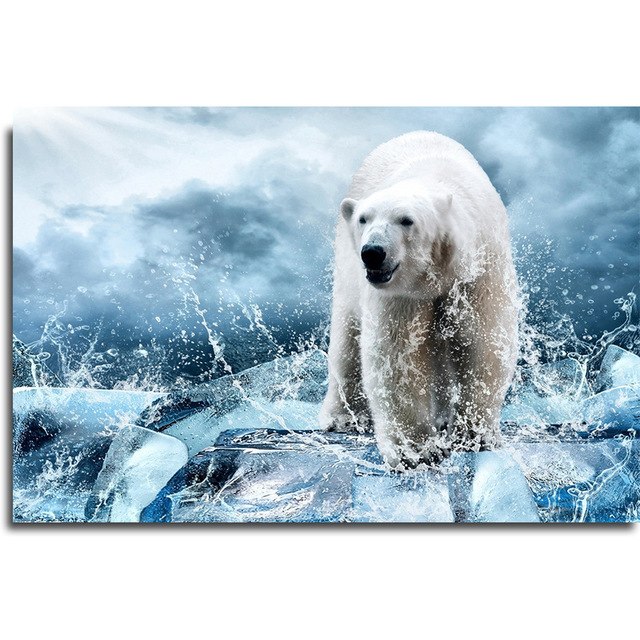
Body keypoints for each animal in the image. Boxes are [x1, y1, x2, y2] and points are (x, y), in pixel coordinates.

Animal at [320, 131, 519, 470]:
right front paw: (416, 450)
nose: (373, 252)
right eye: (363, 218)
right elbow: (398, 354)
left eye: (406, 220)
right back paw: (343, 417)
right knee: (347, 338)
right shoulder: (401, 293)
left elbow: (484, 341)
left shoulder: (480, 269)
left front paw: (474, 435)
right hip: (347, 269)